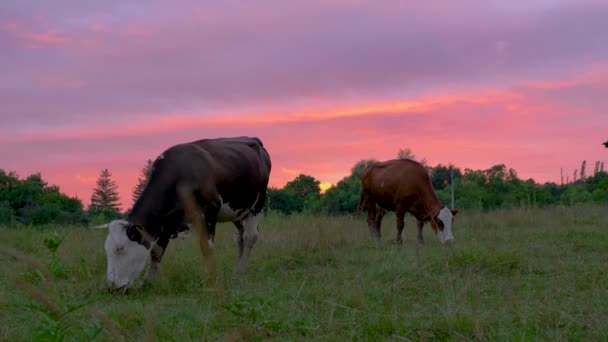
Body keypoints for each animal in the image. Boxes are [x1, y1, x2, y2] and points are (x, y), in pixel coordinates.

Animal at [97, 136, 270, 288]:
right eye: (106, 250)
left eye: (121, 249)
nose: (112, 287)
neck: (180, 176)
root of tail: (254, 139)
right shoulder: (165, 221)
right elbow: (156, 251)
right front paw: (148, 281)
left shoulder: (210, 211)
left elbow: (207, 248)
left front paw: (209, 278)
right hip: (238, 211)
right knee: (240, 236)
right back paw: (237, 270)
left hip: (257, 204)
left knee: (250, 236)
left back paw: (242, 270)